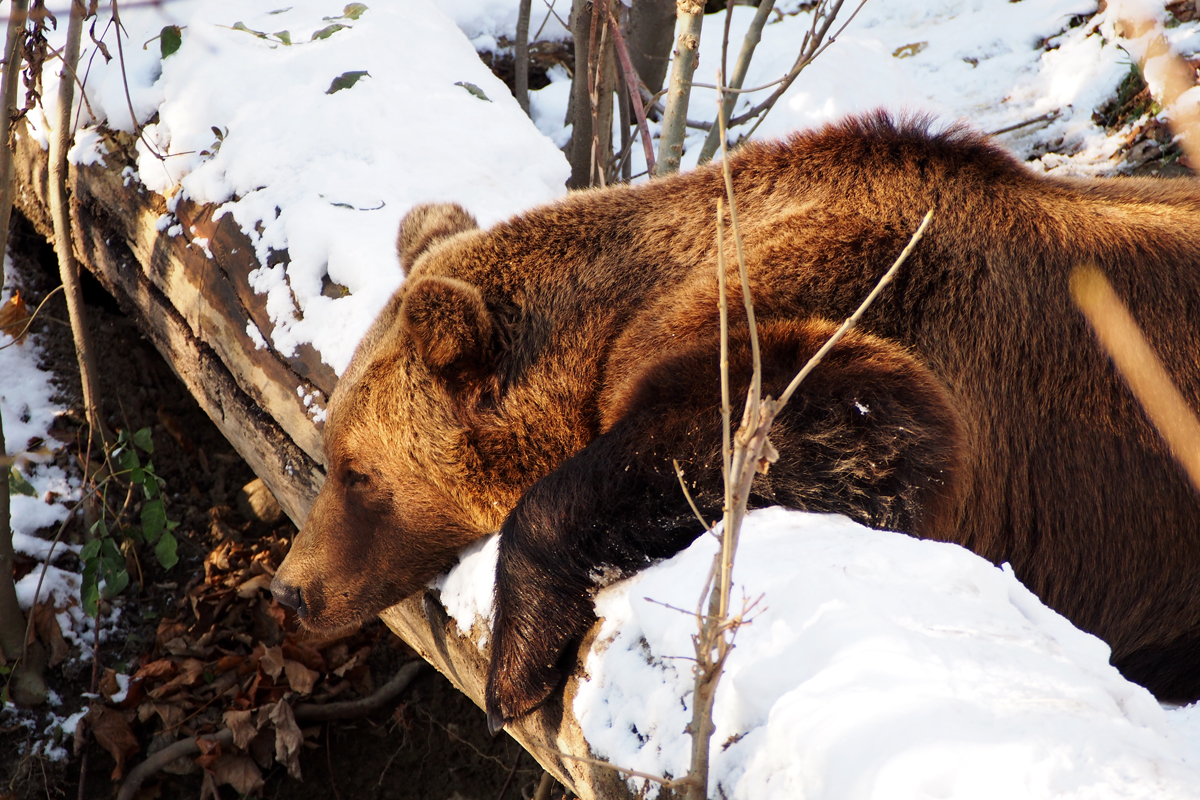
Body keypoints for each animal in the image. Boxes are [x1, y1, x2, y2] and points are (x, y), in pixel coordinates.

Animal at [270, 112, 1200, 734]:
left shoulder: (851, 308)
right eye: (336, 451)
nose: (289, 588)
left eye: (357, 471)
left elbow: (841, 428)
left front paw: (513, 671)